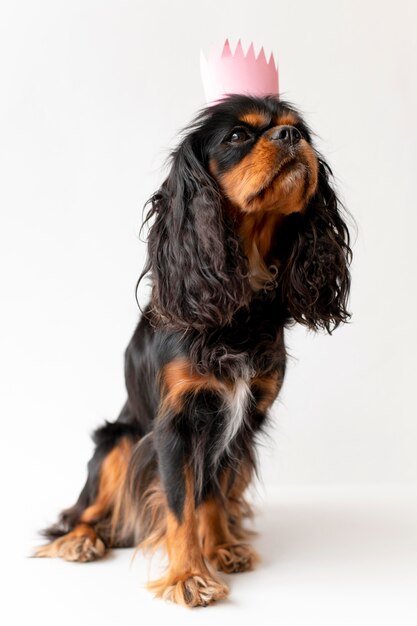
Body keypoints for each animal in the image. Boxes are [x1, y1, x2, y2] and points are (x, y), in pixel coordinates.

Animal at [35, 95, 352, 608]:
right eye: (239, 136)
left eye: (299, 131)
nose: (289, 138)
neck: (240, 292)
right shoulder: (176, 426)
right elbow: (180, 506)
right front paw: (188, 576)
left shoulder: (239, 425)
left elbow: (212, 495)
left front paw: (220, 548)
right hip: (118, 441)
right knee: (80, 510)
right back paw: (82, 539)